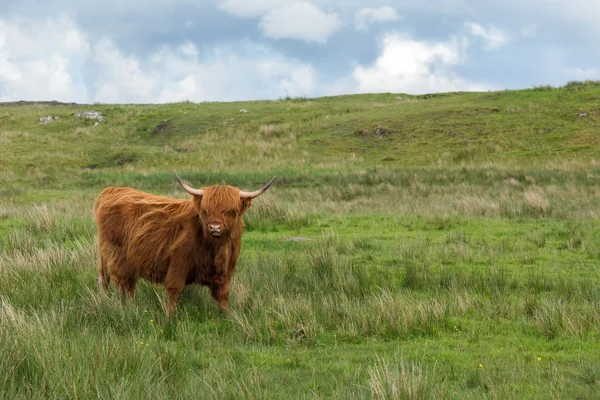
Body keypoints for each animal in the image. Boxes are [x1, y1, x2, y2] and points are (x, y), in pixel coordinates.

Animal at [92, 173, 276, 318]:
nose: (215, 227)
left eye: (231, 211)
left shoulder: (226, 270)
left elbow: (223, 294)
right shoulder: (179, 263)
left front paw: (227, 317)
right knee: (119, 284)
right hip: (117, 258)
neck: (216, 249)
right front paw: (170, 317)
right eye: (206, 210)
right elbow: (174, 290)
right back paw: (125, 309)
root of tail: (111, 190)